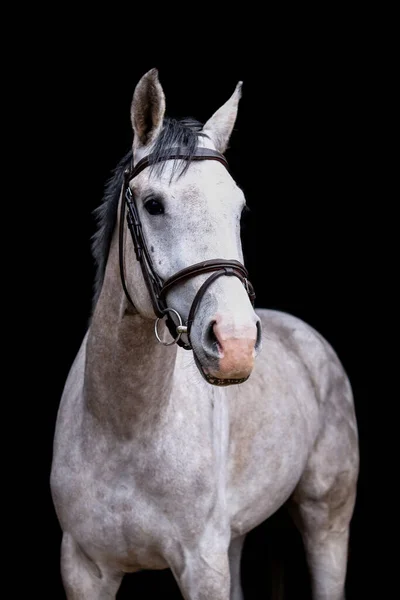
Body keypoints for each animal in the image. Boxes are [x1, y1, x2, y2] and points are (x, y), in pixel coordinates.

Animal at [50, 68, 360, 596]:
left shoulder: (202, 566)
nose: (235, 344)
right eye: (153, 204)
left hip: (327, 519)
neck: (125, 430)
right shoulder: (84, 569)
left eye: (239, 208)